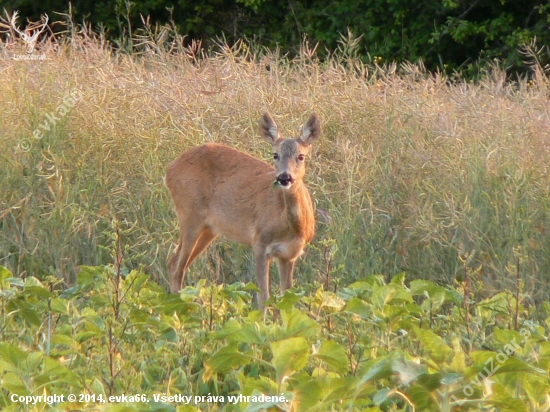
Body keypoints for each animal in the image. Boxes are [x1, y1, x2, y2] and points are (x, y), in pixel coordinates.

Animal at [167, 112, 324, 306]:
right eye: (275, 155)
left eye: (301, 156)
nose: (284, 177)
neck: (290, 227)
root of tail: (169, 169)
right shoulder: (260, 242)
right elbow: (263, 296)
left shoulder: (289, 254)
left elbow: (286, 297)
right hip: (189, 215)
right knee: (177, 267)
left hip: (209, 229)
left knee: (175, 263)